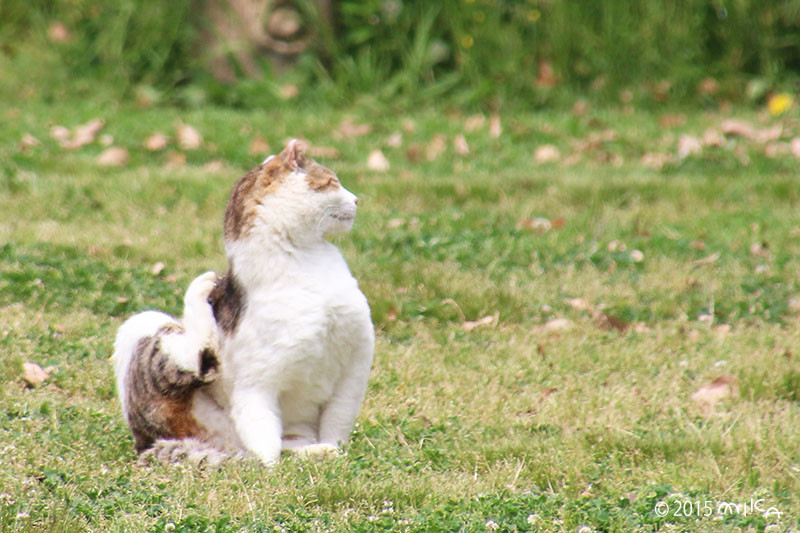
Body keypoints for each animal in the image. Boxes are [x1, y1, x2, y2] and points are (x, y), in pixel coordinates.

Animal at [111, 139, 376, 464]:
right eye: (332, 181)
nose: (357, 200)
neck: (307, 262)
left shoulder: (354, 370)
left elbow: (336, 423)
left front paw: (335, 452)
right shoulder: (257, 384)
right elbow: (265, 441)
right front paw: (270, 469)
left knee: (289, 443)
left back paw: (315, 451)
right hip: (144, 325)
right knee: (191, 361)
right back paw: (201, 288)